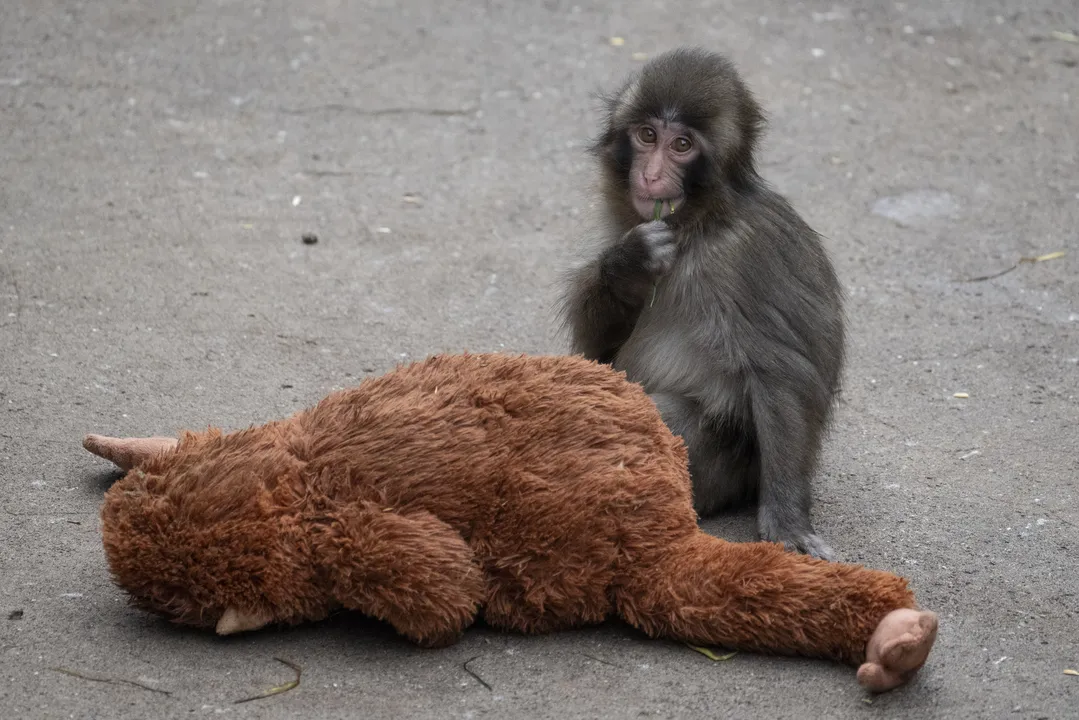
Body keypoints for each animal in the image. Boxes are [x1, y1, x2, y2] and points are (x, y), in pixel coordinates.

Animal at [560, 48, 845, 560]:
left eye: (681, 145)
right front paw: (630, 264)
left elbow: (782, 374)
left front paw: (788, 521)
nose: (651, 175)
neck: (699, 225)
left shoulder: (746, 255)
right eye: (647, 135)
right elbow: (598, 353)